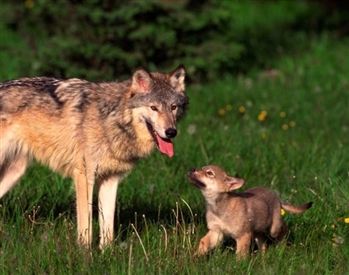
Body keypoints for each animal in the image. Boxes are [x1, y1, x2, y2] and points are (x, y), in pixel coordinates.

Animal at [0, 65, 188, 250]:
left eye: (173, 107)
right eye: (154, 108)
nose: (171, 132)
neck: (111, 120)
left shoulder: (111, 180)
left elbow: (108, 228)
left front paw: (107, 253)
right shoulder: (85, 177)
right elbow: (86, 226)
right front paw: (85, 254)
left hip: (14, 173)